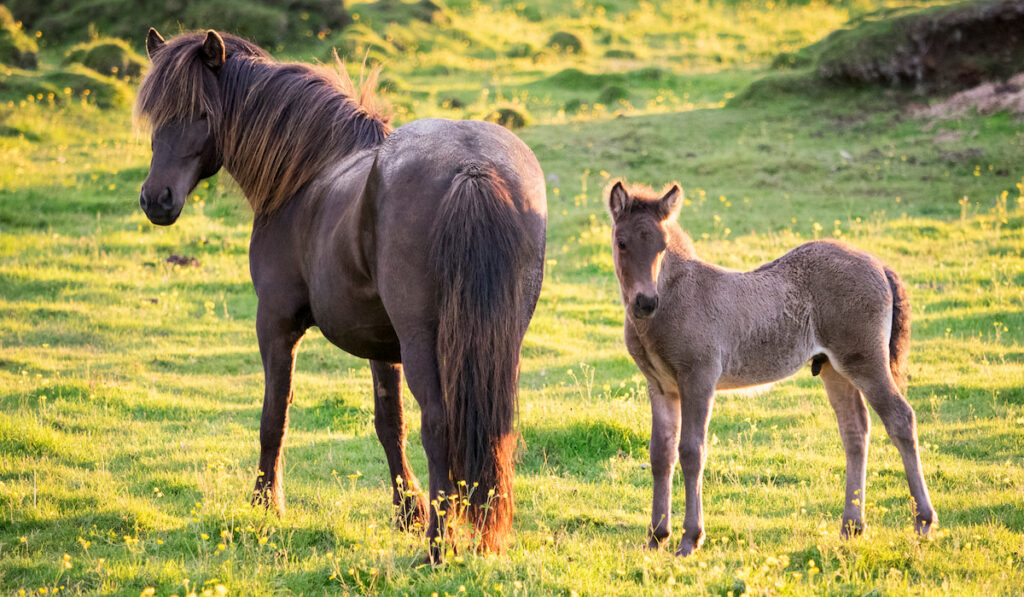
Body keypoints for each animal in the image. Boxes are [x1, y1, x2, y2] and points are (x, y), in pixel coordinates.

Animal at [138, 28, 552, 561]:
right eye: (157, 114)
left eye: (202, 115)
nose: (156, 200)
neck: (308, 174)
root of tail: (472, 168)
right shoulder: (382, 344)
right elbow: (389, 422)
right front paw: (406, 512)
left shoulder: (275, 323)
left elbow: (275, 415)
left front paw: (264, 505)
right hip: (499, 341)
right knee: (489, 426)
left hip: (424, 342)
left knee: (439, 424)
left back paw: (438, 546)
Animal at [606, 181, 937, 557]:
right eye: (622, 243)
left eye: (662, 245)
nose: (646, 302)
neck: (676, 297)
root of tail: (878, 264)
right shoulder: (661, 386)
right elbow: (660, 454)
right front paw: (656, 536)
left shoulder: (699, 379)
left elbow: (691, 451)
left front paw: (690, 538)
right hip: (834, 369)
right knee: (855, 431)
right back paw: (852, 526)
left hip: (865, 360)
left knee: (900, 418)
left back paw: (923, 520)